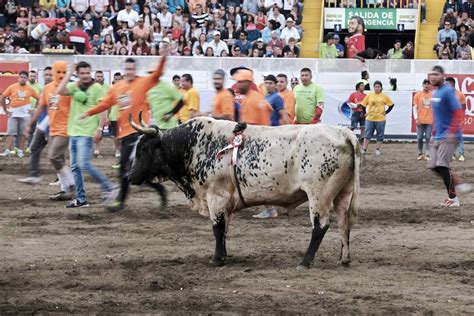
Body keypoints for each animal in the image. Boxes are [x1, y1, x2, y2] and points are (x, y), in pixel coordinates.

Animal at [129, 115, 360, 268]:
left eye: (142, 149)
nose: (130, 177)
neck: (194, 146)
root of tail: (344, 132)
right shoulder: (225, 203)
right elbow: (224, 230)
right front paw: (223, 256)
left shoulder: (216, 198)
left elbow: (218, 228)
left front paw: (216, 259)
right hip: (342, 194)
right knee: (344, 223)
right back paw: (344, 258)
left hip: (318, 195)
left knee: (320, 226)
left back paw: (305, 261)